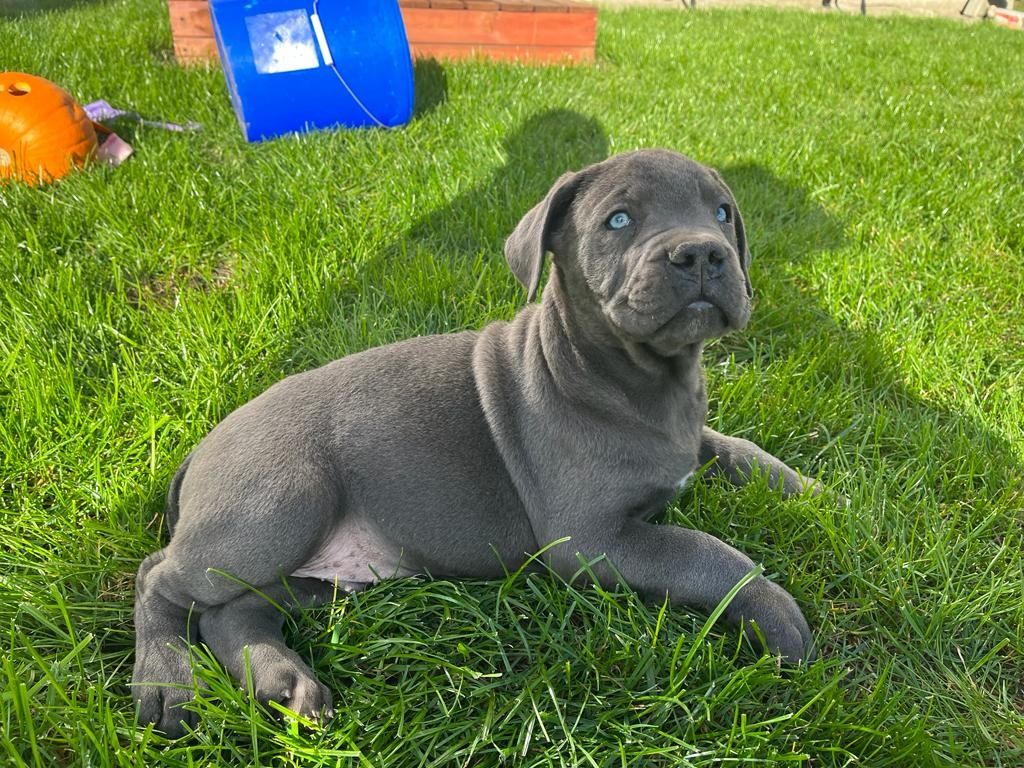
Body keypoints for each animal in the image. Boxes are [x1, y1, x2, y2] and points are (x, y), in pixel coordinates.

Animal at [134, 147, 815, 737]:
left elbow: (737, 448)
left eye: (722, 212)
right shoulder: (591, 539)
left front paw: (811, 492)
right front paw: (775, 610)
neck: (644, 379)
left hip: (307, 576)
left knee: (231, 610)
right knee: (158, 577)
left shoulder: (687, 441)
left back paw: (283, 682)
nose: (702, 252)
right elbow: (707, 552)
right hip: (280, 501)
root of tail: (200, 449)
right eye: (619, 221)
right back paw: (168, 684)